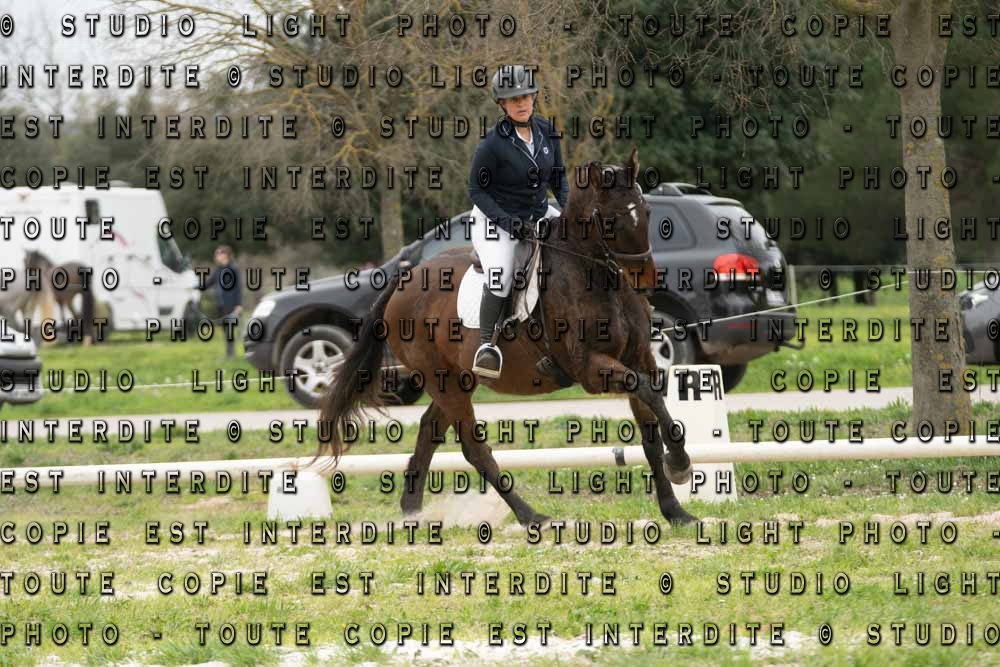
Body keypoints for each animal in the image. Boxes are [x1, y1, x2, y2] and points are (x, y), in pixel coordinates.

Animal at [316, 146, 697, 526]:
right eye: (611, 219)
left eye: (647, 211)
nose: (647, 281)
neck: (597, 277)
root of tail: (403, 279)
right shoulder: (590, 369)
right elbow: (647, 392)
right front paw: (679, 464)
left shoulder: (639, 358)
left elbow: (651, 425)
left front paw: (675, 509)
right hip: (443, 382)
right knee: (473, 447)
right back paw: (530, 515)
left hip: (458, 379)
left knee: (428, 430)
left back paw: (412, 512)